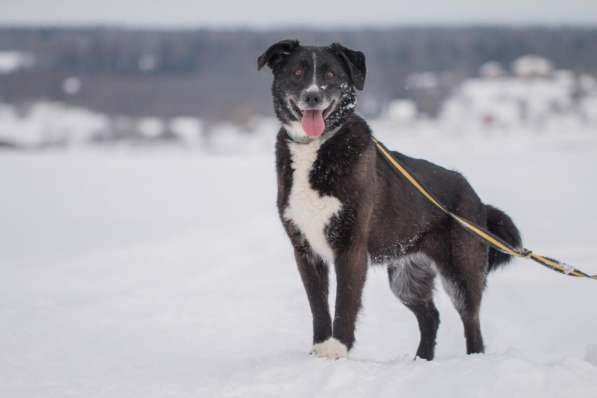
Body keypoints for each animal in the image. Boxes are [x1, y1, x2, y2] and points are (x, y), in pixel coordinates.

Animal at [258, 40, 520, 360]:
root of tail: (477, 200)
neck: (317, 148)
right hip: (406, 277)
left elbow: (345, 302)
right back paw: (421, 361)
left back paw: (473, 360)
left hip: (461, 272)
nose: (312, 96)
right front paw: (320, 348)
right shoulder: (305, 251)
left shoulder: (351, 248)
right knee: (430, 317)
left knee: (472, 323)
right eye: (297, 72)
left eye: (331, 74)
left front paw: (338, 349)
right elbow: (318, 304)